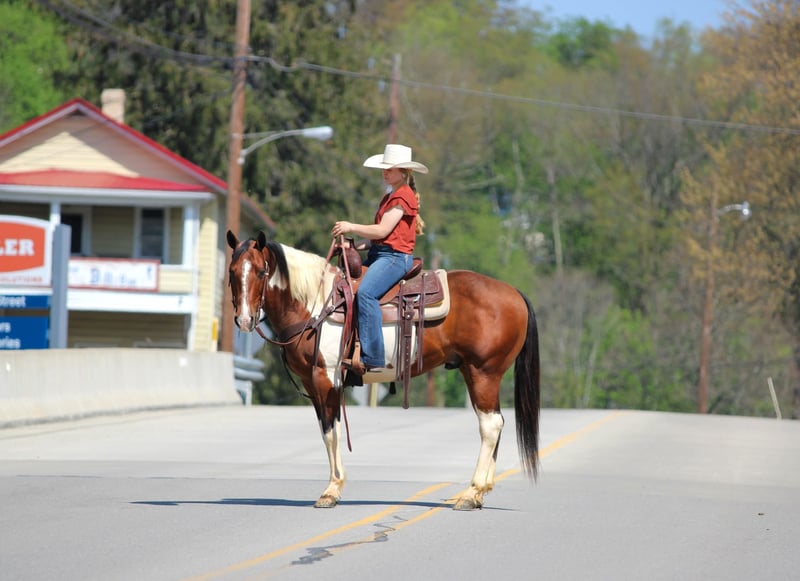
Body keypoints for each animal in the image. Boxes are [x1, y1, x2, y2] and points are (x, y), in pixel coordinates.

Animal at [226, 230, 540, 510]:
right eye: (232, 272)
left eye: (261, 272)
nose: (243, 320)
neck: (314, 305)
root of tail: (514, 293)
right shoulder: (314, 384)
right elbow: (328, 431)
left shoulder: (326, 379)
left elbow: (331, 432)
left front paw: (331, 491)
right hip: (475, 373)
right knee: (494, 423)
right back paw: (480, 493)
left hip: (483, 372)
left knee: (490, 425)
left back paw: (471, 493)